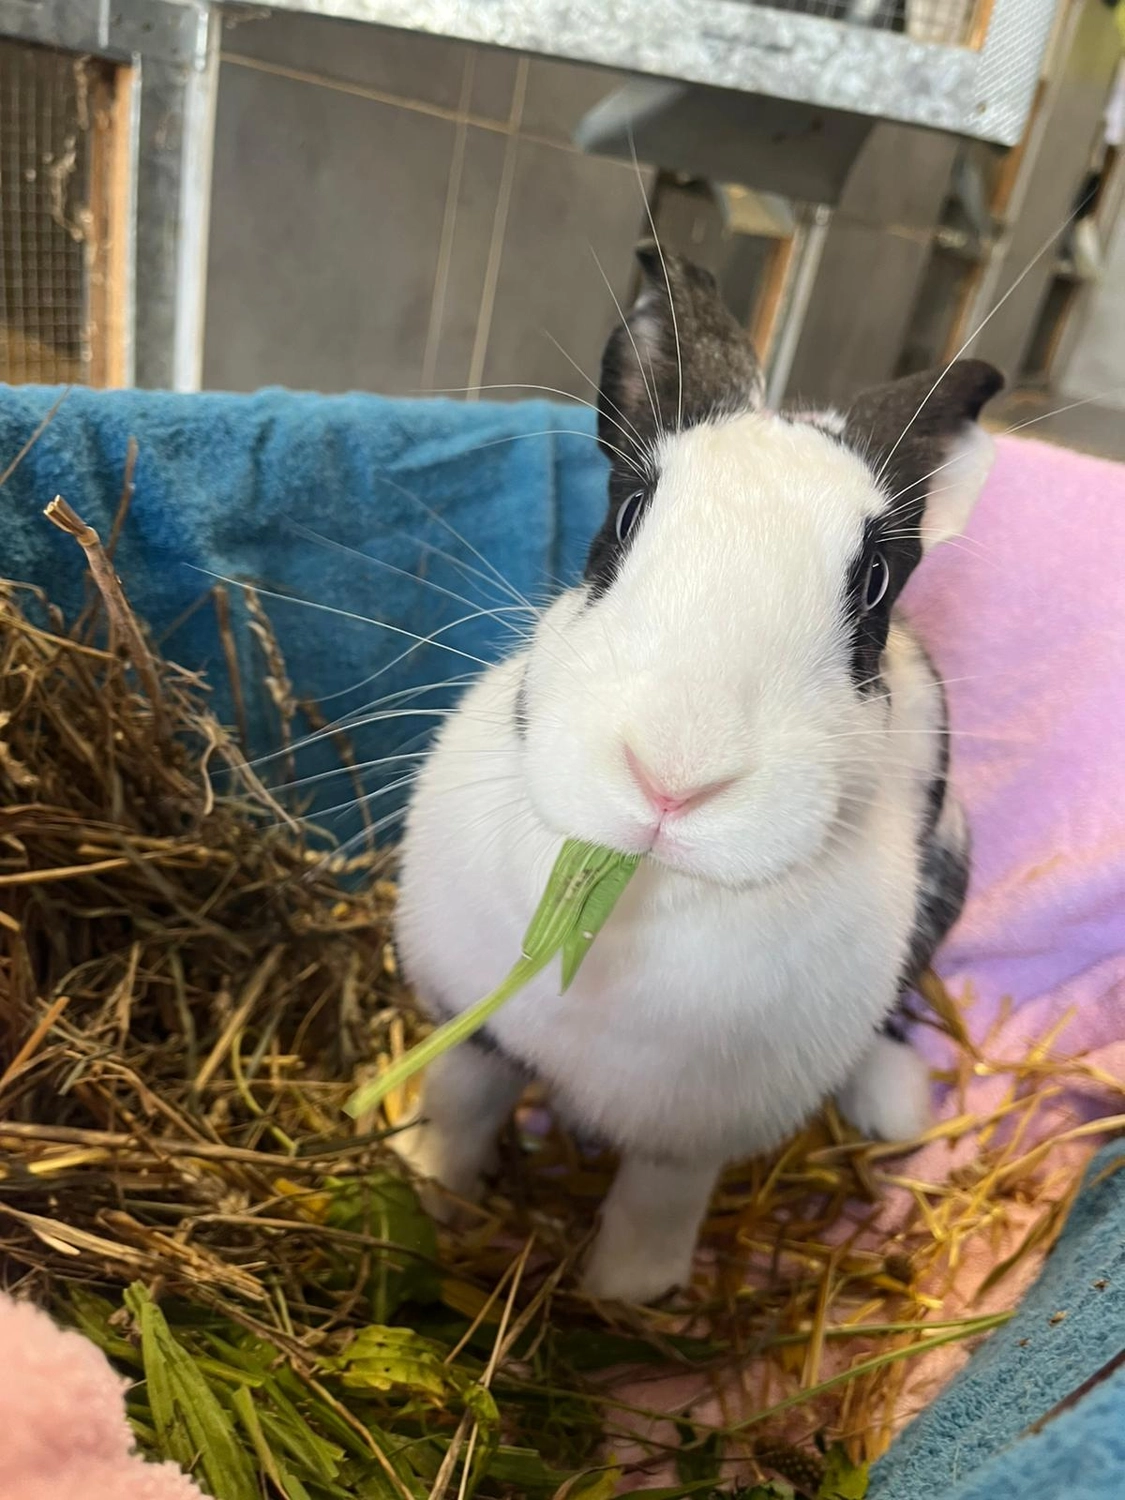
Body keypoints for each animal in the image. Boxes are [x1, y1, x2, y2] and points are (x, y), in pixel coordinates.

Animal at [391, 245, 1002, 1305]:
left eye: (874, 586)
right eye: (626, 518)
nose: (672, 778)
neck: (634, 889)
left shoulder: (696, 1127)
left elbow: (657, 1202)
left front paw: (628, 1299)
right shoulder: (470, 1019)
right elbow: (462, 1105)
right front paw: (429, 1189)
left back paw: (892, 1109)